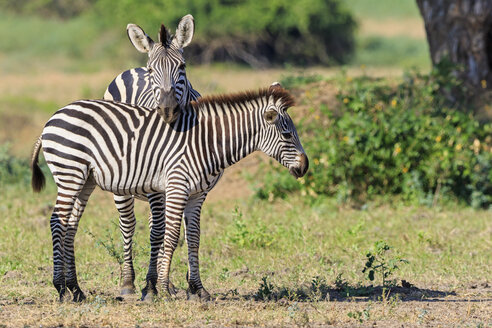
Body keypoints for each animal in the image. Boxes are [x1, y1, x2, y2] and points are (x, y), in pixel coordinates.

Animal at [30, 82, 308, 302]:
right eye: (287, 135)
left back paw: (76, 290)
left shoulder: (197, 194)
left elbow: (193, 237)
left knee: (70, 226)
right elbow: (172, 236)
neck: (206, 143)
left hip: (85, 180)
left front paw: (199, 290)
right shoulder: (176, 186)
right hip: (70, 172)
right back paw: (61, 289)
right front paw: (163, 288)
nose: (305, 167)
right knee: (57, 221)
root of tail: (53, 118)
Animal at [102, 15, 202, 296]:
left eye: (183, 67)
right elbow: (158, 232)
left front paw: (186, 284)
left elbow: (183, 232)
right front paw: (151, 284)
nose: (167, 110)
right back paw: (128, 283)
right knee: (129, 224)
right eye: (151, 70)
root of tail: (131, 70)